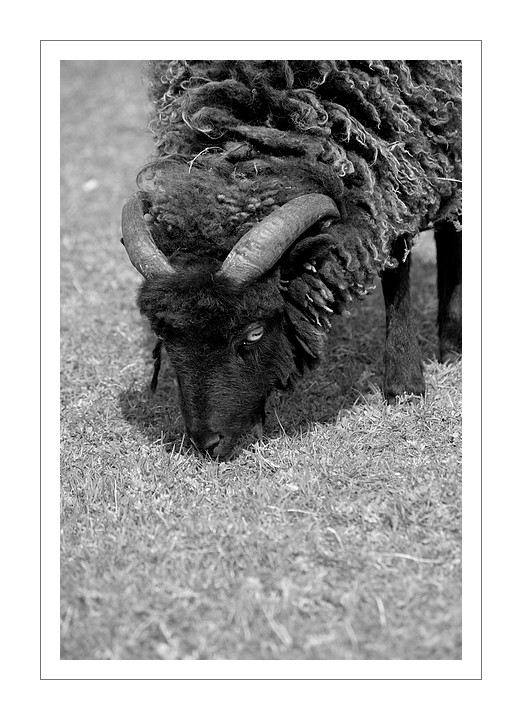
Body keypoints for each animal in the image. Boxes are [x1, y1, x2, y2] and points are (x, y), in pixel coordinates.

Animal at [121, 60, 462, 459]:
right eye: (163, 334)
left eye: (254, 332)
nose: (205, 444)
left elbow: (396, 269)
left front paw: (405, 386)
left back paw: (451, 346)